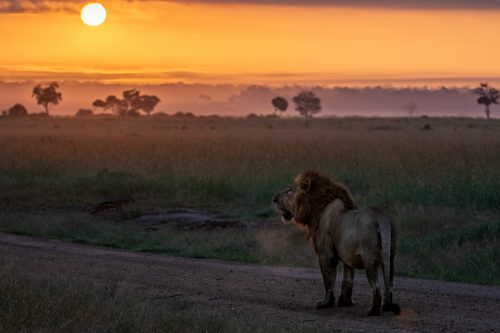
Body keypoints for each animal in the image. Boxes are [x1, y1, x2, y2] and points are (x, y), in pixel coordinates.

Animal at [272, 170, 400, 316]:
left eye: (290, 190)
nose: (274, 199)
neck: (316, 209)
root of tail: (381, 218)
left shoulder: (326, 254)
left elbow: (328, 280)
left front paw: (326, 303)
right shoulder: (348, 255)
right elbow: (347, 280)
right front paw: (344, 302)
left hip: (369, 258)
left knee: (377, 287)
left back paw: (373, 311)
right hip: (390, 256)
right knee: (389, 284)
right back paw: (386, 306)